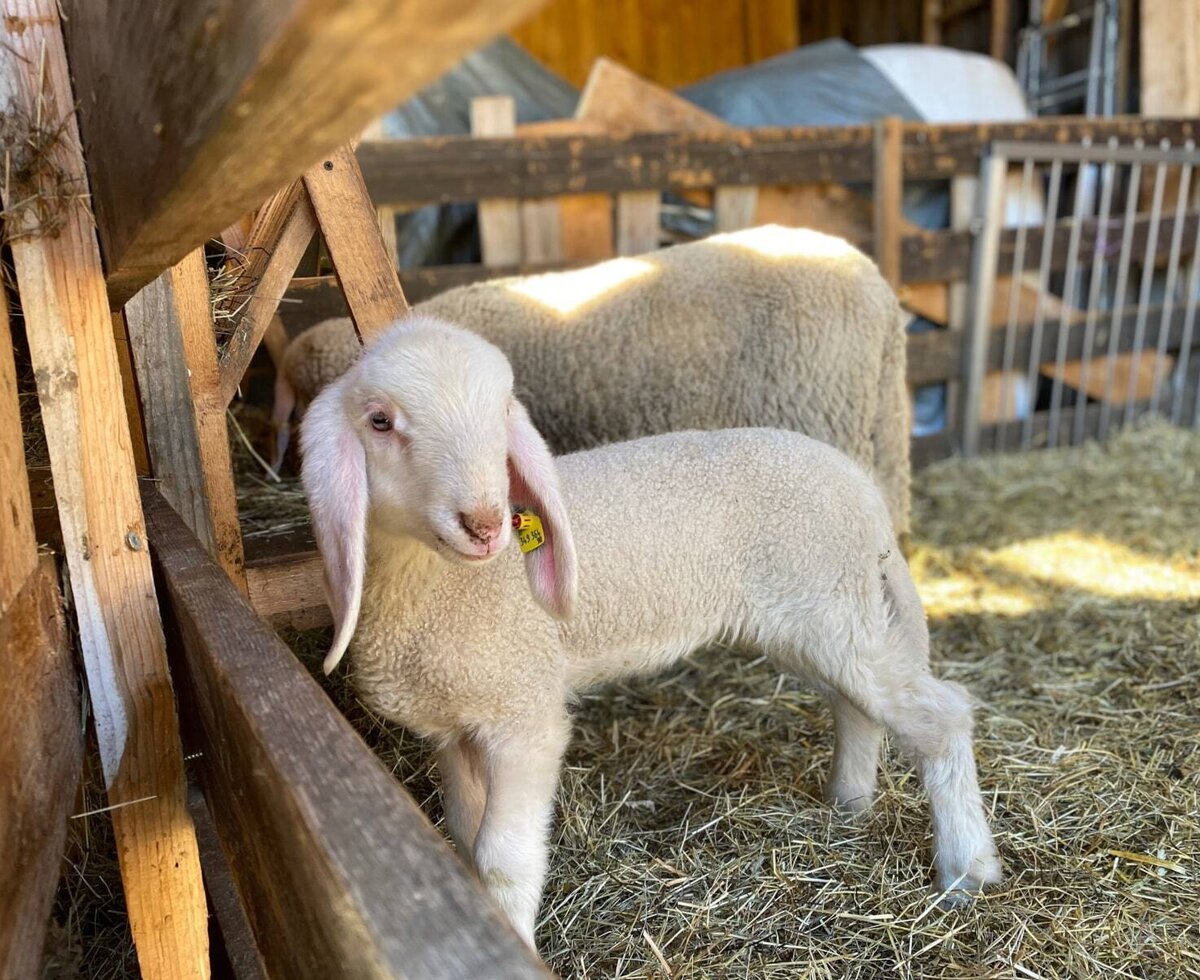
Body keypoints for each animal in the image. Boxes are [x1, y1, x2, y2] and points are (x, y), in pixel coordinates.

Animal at [300, 313, 1001, 949]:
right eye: (379, 421)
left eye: (502, 411)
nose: (485, 522)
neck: (438, 586)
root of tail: (864, 490)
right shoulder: (459, 723)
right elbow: (464, 837)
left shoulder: (525, 717)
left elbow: (502, 859)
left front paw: (515, 945)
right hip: (818, 621)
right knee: (857, 706)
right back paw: (849, 804)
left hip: (832, 609)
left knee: (940, 715)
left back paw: (967, 871)